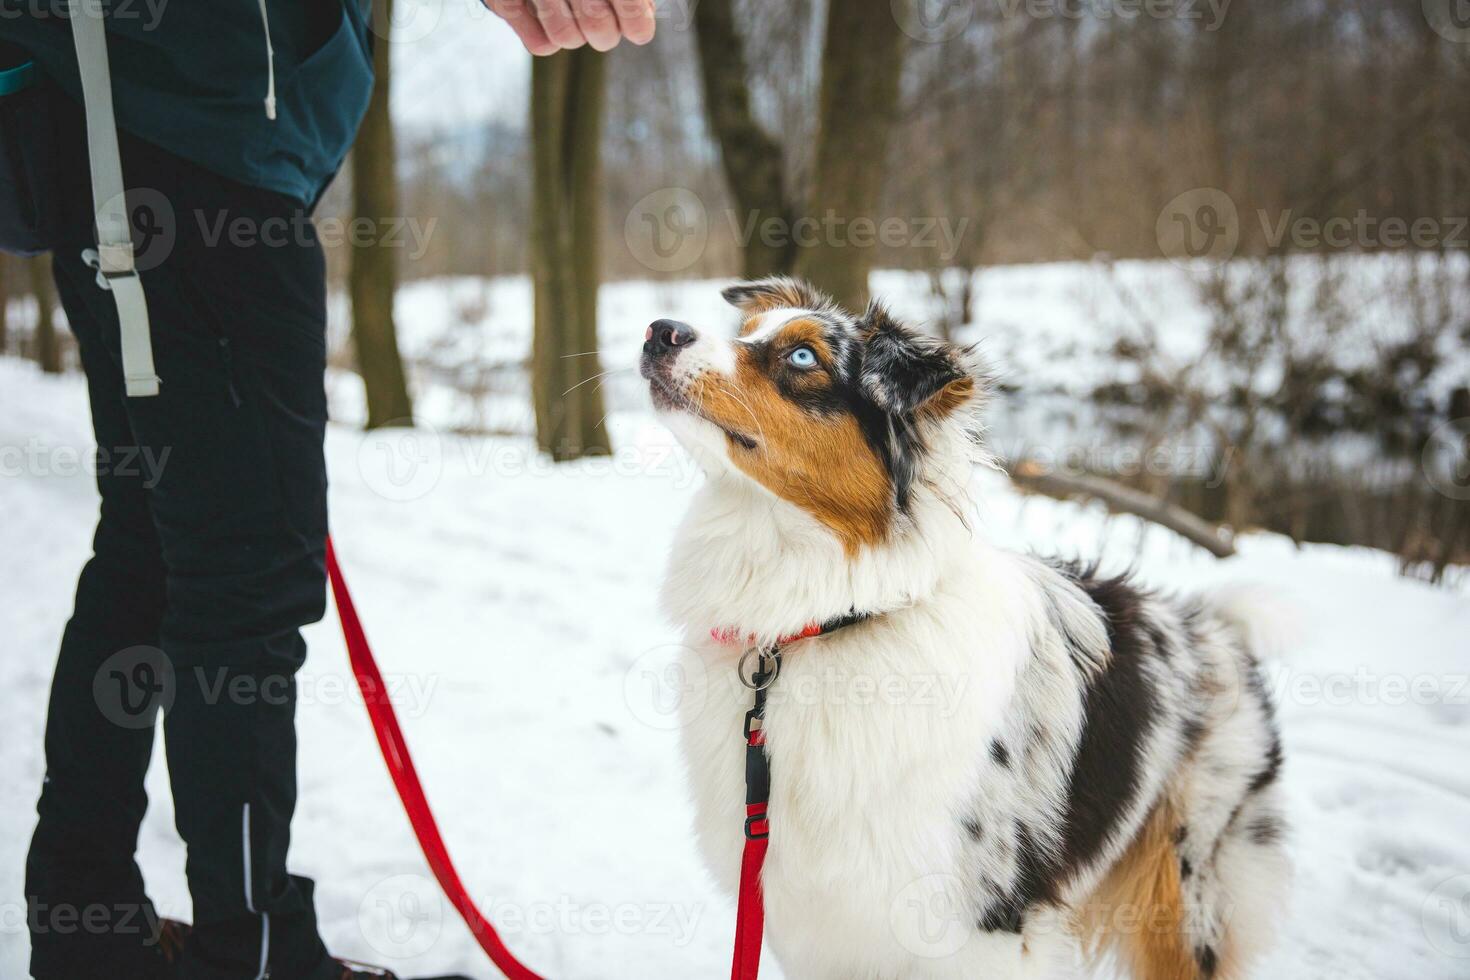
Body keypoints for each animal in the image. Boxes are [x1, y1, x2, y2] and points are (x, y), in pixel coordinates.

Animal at [640, 277, 1287, 980]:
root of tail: (1217, 628)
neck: (832, 618)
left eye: (803, 357)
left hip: (1183, 898)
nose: (659, 331)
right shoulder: (823, 920)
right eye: (749, 330)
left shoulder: (984, 930)